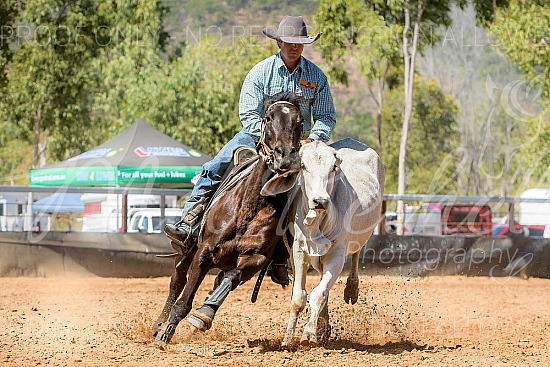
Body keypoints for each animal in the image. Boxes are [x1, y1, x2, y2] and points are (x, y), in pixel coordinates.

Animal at [153, 92, 304, 348]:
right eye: (268, 117)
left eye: (300, 121)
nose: (284, 156)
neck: (250, 206)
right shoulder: (203, 252)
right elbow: (183, 301)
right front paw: (164, 337)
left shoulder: (257, 258)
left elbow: (232, 278)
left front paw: (203, 315)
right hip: (186, 251)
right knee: (177, 281)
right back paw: (158, 326)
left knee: (220, 279)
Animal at [262, 140, 384, 348]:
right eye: (303, 166)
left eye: (334, 167)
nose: (320, 200)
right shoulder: (299, 251)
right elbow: (299, 297)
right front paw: (288, 339)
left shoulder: (337, 255)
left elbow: (319, 294)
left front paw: (309, 334)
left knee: (356, 254)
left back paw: (351, 289)